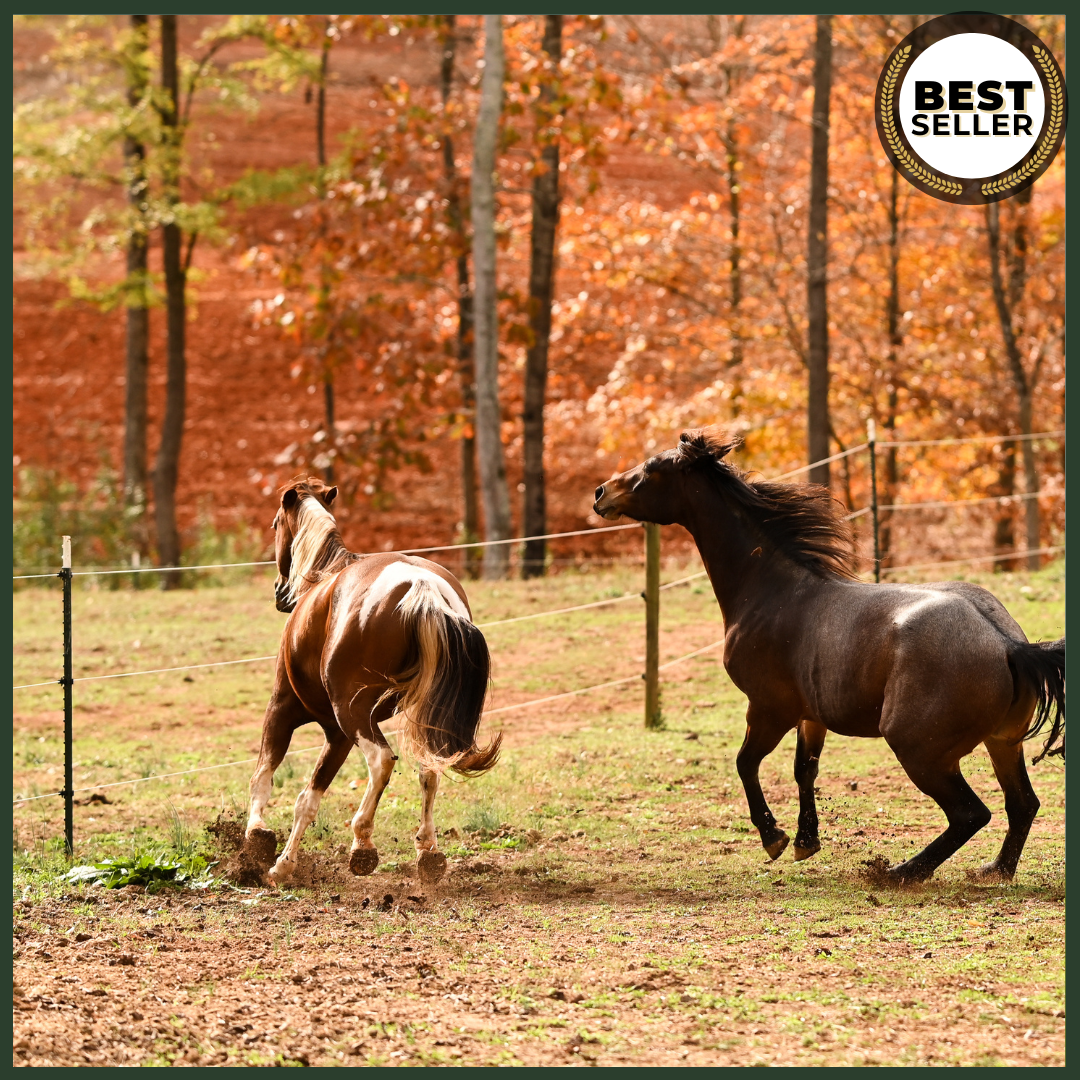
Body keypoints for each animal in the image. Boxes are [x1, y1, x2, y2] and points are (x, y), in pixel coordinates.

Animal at [244, 478, 500, 887]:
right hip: (412, 715)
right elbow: (309, 798)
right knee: (429, 768)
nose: (280, 591)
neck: (325, 574)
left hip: (354, 713)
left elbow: (265, 777)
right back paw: (428, 852)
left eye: (275, 524)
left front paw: (265, 845)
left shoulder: (285, 708)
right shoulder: (337, 734)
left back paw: (362, 844)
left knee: (382, 760)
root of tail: (422, 587)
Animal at [593, 427, 1064, 882]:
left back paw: (899, 872)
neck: (772, 590)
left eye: (652, 468)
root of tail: (1009, 645)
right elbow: (805, 769)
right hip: (1002, 743)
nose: (601, 493)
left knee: (971, 813)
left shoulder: (768, 708)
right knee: (1022, 804)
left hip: (921, 752)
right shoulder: (810, 714)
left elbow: (746, 763)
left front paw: (774, 838)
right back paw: (994, 870)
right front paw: (806, 841)